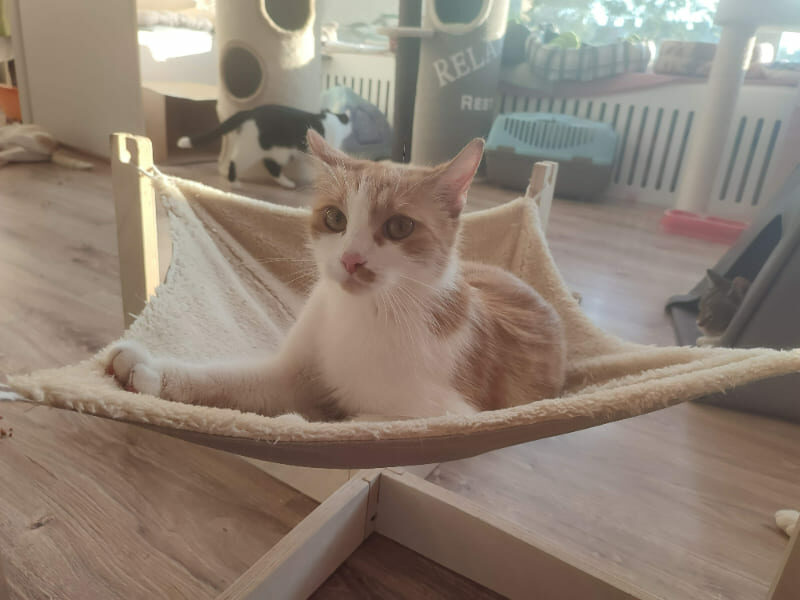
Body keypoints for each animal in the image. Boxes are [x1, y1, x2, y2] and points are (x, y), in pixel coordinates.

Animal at [106, 131, 567, 421]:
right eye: (334, 218)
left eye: (400, 227)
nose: (351, 260)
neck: (365, 313)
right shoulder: (291, 373)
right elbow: (233, 378)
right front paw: (153, 370)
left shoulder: (439, 415)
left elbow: (355, 420)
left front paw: (306, 418)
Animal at [177, 105, 352, 189]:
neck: (333, 119)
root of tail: (250, 111)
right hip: (253, 148)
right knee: (236, 162)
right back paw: (235, 183)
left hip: (276, 151)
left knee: (270, 165)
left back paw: (286, 183)